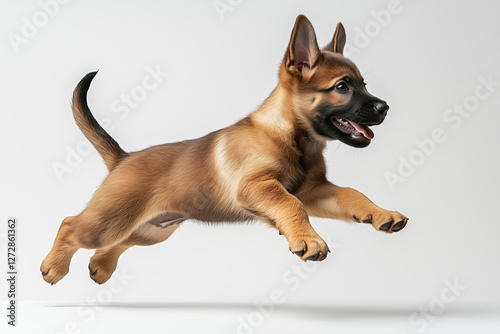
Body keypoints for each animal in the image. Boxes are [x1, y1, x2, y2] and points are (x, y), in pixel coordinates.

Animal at [42, 15, 410, 284]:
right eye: (342, 87)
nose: (385, 108)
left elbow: (351, 193)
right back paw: (53, 267)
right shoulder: (258, 186)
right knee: (70, 225)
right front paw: (308, 239)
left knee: (111, 244)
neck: (292, 136)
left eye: (363, 84)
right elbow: (291, 206)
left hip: (150, 230)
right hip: (109, 220)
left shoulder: (315, 192)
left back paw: (99, 267)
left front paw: (381, 213)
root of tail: (123, 158)